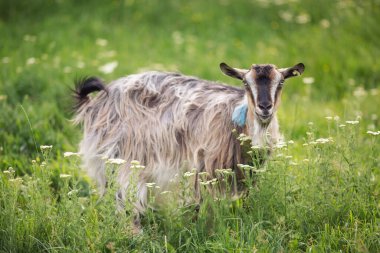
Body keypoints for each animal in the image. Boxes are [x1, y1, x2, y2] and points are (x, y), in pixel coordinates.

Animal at [73, 62, 306, 227]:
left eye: (281, 83)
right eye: (246, 83)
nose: (264, 107)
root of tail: (97, 102)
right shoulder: (203, 167)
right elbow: (198, 205)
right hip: (124, 157)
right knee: (124, 197)